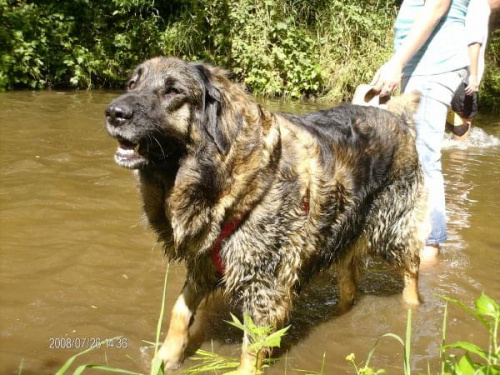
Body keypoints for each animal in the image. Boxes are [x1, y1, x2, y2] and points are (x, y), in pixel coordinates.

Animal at [105, 57, 430, 374]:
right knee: (350, 286)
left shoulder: (264, 284)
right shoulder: (204, 263)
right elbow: (179, 310)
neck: (224, 181)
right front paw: (166, 357)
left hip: (391, 231)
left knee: (412, 268)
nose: (113, 113)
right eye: (132, 83)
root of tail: (397, 117)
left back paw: (413, 306)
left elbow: (251, 347)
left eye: (173, 91)